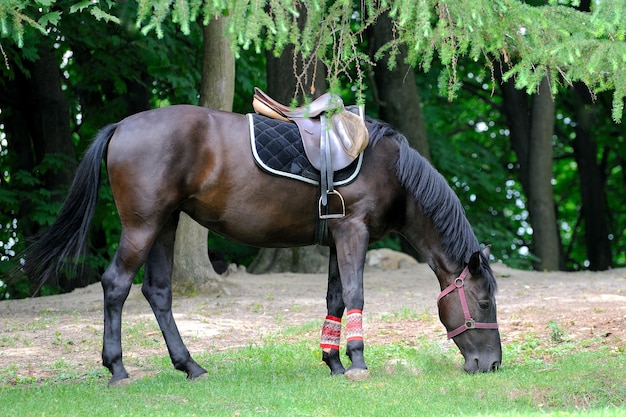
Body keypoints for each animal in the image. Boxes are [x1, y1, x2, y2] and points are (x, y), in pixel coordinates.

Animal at [23, 104, 502, 384]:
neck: (390, 169)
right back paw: (118, 368)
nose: (493, 363)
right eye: (483, 304)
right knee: (116, 284)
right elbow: (355, 294)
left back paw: (190, 366)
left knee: (157, 291)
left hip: (165, 224)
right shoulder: (354, 232)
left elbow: (335, 298)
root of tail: (122, 124)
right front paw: (358, 362)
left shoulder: (336, 237)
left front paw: (332, 362)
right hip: (143, 226)